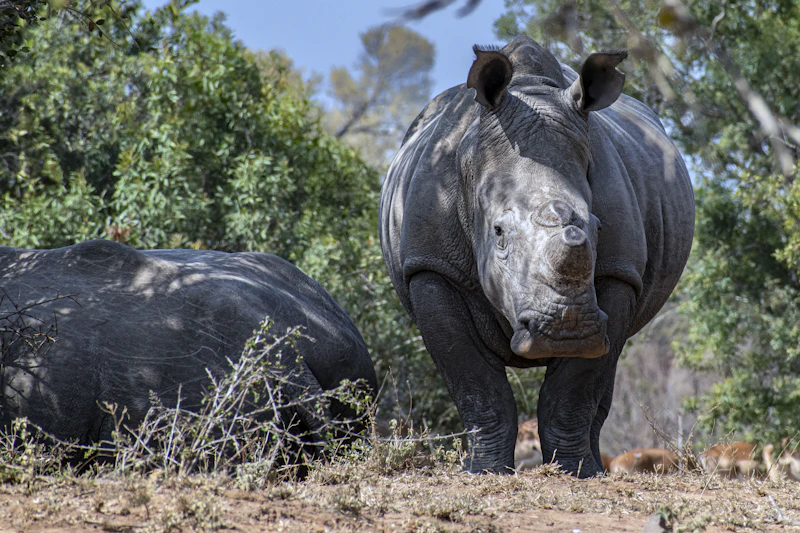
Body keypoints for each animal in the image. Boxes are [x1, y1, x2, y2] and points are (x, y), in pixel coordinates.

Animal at [379, 36, 694, 476]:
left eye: (598, 228)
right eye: (498, 233)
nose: (567, 330)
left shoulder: (619, 272)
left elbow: (575, 387)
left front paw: (578, 472)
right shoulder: (430, 267)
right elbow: (475, 383)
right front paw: (483, 471)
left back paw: (595, 464)